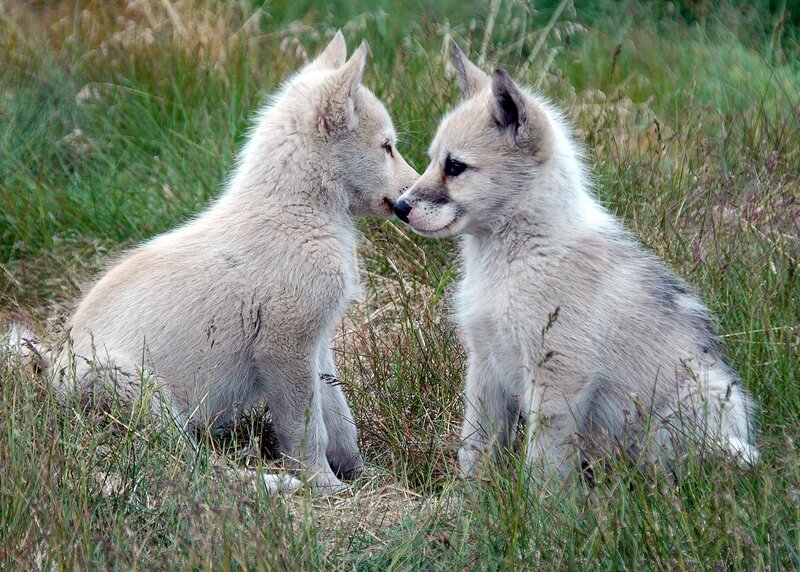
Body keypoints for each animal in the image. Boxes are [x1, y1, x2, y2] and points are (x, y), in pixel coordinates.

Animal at [4, 32, 418, 493]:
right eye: (387, 147)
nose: (412, 199)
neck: (297, 213)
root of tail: (49, 375)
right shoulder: (285, 347)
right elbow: (306, 428)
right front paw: (322, 485)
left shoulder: (317, 344)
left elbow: (339, 416)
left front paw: (363, 474)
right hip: (137, 389)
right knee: (188, 468)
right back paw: (274, 485)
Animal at [393, 44, 758, 480]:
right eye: (433, 161)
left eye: (455, 167)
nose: (399, 208)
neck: (520, 256)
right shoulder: (485, 367)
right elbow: (475, 447)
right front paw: (469, 496)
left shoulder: (558, 376)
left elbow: (543, 466)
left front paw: (535, 500)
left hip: (684, 411)